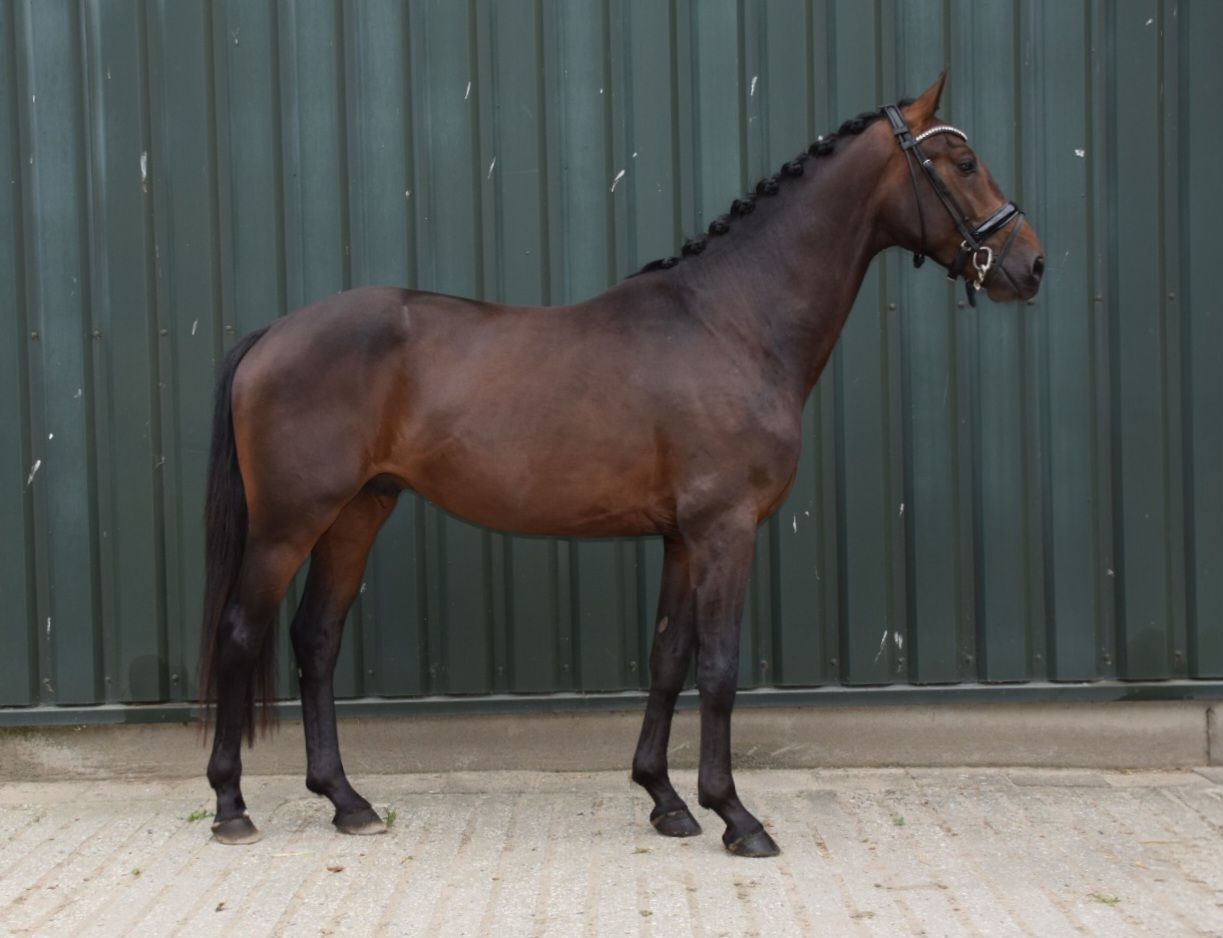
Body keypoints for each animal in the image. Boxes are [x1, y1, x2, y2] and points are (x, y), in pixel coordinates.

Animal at [199, 74, 1044, 858]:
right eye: (963, 162)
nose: (1030, 265)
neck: (733, 321)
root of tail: (274, 333)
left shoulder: (681, 538)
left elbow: (667, 657)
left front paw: (665, 801)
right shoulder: (726, 530)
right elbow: (719, 668)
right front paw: (735, 815)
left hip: (358, 510)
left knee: (315, 639)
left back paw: (347, 802)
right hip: (288, 524)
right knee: (241, 633)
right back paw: (231, 807)